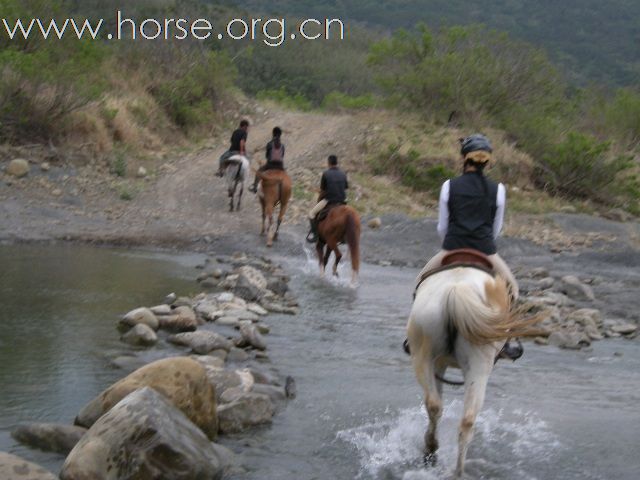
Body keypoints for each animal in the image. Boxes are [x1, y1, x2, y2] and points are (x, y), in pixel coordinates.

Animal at [408, 268, 536, 478]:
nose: (516, 349)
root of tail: (456, 290)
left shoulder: (438, 365)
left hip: (424, 357)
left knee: (441, 409)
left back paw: (437, 455)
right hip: (478, 366)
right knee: (465, 419)